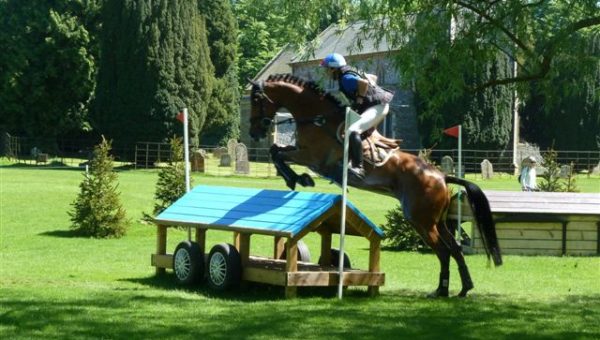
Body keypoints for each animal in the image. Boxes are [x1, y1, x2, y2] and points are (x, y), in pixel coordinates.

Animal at [247, 74, 502, 298]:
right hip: (437, 221)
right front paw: (295, 178)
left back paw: (441, 290)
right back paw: (464, 288)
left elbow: (277, 153)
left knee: (443, 251)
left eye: (257, 99)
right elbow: (276, 152)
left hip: (422, 220)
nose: (254, 132)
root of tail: (442, 176)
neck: (315, 117)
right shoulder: (303, 153)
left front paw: (298, 178)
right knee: (455, 249)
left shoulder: (312, 157)